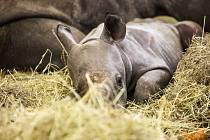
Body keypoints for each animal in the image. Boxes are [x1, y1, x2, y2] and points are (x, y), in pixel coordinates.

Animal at [56, 14, 202, 106]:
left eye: (120, 81)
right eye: (78, 89)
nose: (107, 109)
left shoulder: (156, 64)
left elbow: (145, 83)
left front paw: (139, 103)